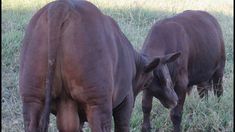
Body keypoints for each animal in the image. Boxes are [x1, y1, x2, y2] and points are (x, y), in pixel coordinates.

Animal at [19, 0, 178, 131]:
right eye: (150, 80)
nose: (175, 99)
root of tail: (62, 6)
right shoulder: (125, 103)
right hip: (98, 106)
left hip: (32, 100)